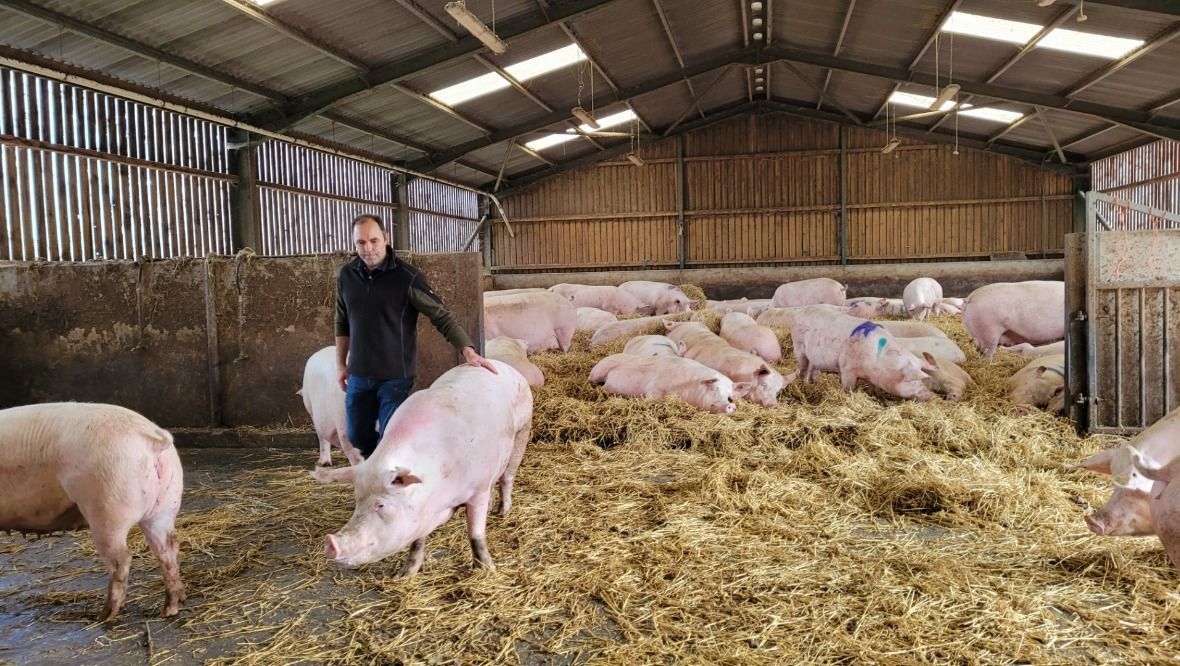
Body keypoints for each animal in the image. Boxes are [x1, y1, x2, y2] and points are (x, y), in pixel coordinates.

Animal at [0, 403, 184, 623]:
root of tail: (152, 437)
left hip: (107, 507)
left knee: (121, 559)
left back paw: (104, 616)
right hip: (164, 507)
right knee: (167, 549)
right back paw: (169, 609)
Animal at [313, 361, 535, 573]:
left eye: (381, 505)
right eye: (357, 500)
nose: (330, 543)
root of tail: (502, 366)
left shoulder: (479, 489)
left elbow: (476, 534)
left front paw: (487, 570)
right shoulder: (421, 512)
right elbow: (417, 541)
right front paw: (405, 574)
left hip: (523, 429)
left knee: (507, 477)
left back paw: (502, 512)